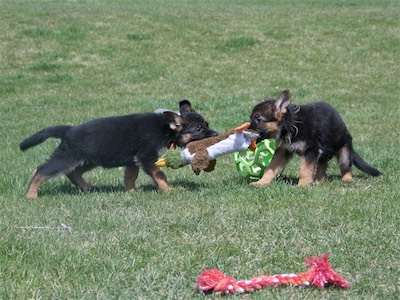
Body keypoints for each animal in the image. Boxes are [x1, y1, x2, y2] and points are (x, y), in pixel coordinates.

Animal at [250, 89, 382, 188]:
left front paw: (303, 185)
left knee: (346, 166)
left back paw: (347, 179)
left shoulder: (311, 150)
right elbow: (270, 168)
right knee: (322, 166)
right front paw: (261, 182)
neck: (291, 124)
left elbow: (305, 169)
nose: (246, 129)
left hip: (343, 150)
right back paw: (318, 180)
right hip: (323, 152)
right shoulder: (283, 150)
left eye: (258, 119)